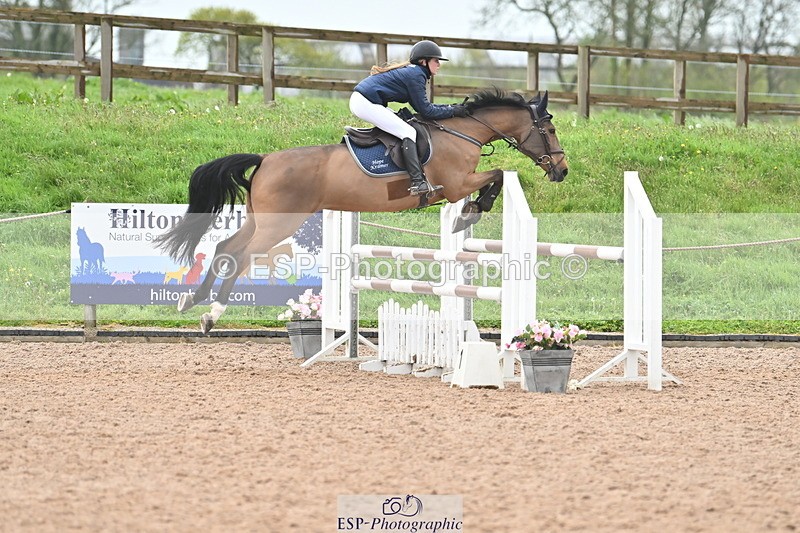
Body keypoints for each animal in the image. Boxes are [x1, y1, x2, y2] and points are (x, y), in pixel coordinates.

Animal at [155, 88, 568, 333]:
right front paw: (474, 209)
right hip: (279, 225)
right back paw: (212, 314)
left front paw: (470, 211)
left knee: (225, 248)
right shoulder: (455, 183)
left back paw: (192, 301)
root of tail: (266, 159)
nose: (562, 170)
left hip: (261, 220)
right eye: (549, 130)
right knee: (241, 256)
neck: (463, 132)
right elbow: (497, 175)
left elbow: (495, 175)